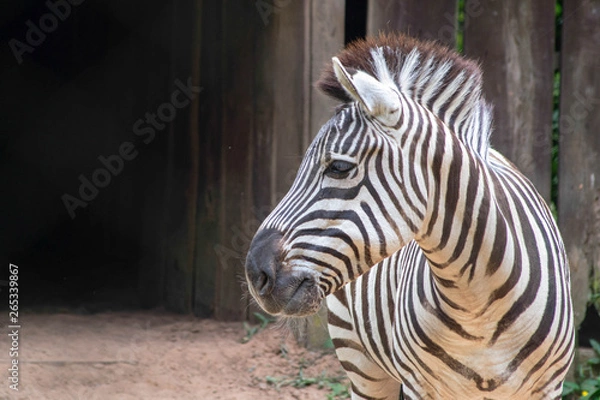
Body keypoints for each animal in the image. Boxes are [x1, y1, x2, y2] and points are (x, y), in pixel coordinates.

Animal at [245, 34, 576, 400]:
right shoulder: (419, 385)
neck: (478, 306)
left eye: (340, 167)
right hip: (360, 362)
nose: (255, 273)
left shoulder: (549, 387)